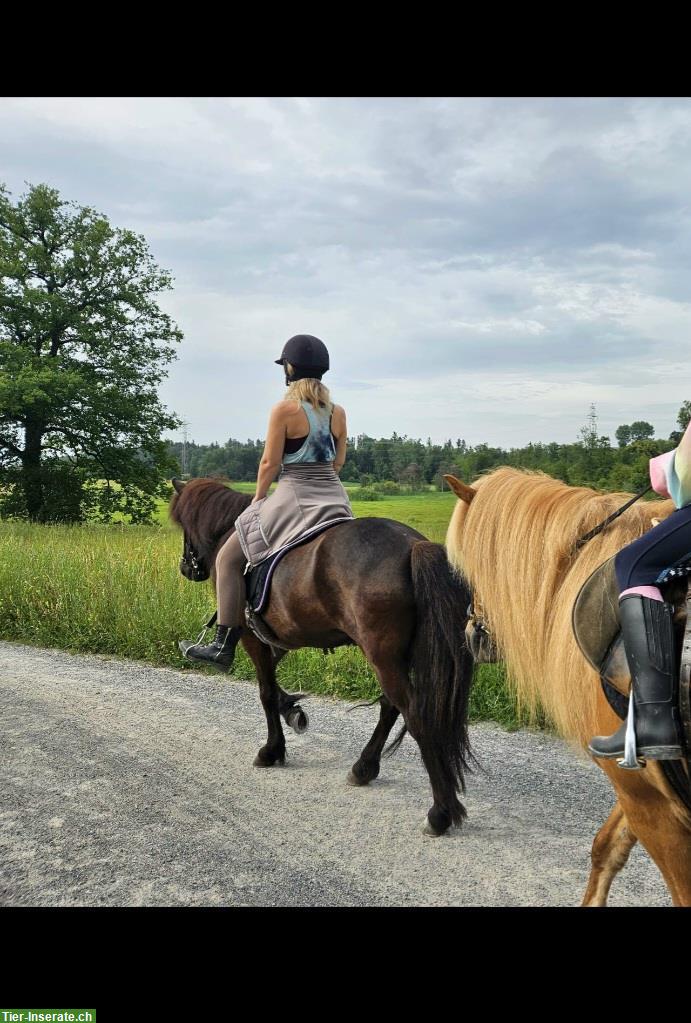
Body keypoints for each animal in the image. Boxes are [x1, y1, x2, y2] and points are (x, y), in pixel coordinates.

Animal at [170, 474, 479, 834]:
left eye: (185, 526)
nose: (186, 568)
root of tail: (412, 545)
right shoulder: (278, 636)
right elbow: (275, 687)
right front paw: (292, 711)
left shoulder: (251, 635)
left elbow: (265, 692)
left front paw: (272, 750)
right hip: (397, 655)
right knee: (391, 707)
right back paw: (363, 768)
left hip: (382, 655)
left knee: (414, 714)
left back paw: (440, 811)